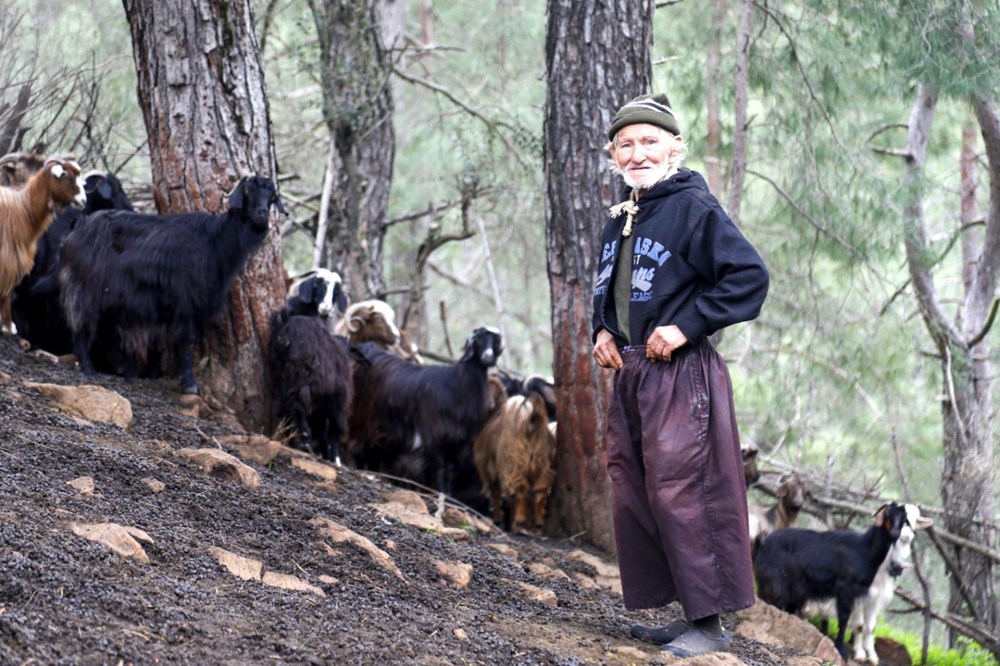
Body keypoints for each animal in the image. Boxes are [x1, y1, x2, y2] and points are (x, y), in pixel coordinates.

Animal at [59, 176, 282, 394]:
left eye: (271, 196)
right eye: (247, 191)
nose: (262, 215)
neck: (215, 240)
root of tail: (78, 226)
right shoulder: (186, 298)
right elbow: (188, 338)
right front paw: (190, 384)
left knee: (104, 328)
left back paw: (126, 370)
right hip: (85, 286)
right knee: (81, 324)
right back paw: (88, 368)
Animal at [270, 278, 356, 464]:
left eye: (336, 291)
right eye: (319, 286)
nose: (326, 308)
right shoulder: (338, 399)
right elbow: (334, 430)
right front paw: (334, 458)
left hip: (289, 377)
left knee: (288, 406)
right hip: (306, 376)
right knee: (300, 406)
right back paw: (306, 440)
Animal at [350, 324, 508, 496]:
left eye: (495, 342)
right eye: (478, 341)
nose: (488, 357)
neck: (457, 383)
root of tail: (370, 351)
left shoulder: (455, 441)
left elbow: (450, 470)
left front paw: (448, 496)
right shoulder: (434, 433)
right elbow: (439, 468)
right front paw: (441, 494)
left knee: (373, 451)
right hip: (363, 418)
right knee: (359, 448)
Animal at [474, 392, 560, 532]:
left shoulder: (492, 472)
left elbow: (496, 496)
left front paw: (497, 519)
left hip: (514, 466)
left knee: (520, 493)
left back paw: (518, 522)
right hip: (543, 467)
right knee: (539, 493)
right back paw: (538, 522)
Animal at [752, 504, 912, 660]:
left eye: (904, 519)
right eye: (887, 514)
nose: (895, 533)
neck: (864, 550)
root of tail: (764, 540)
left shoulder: (859, 594)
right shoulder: (845, 589)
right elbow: (844, 619)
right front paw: (841, 650)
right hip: (776, 582)